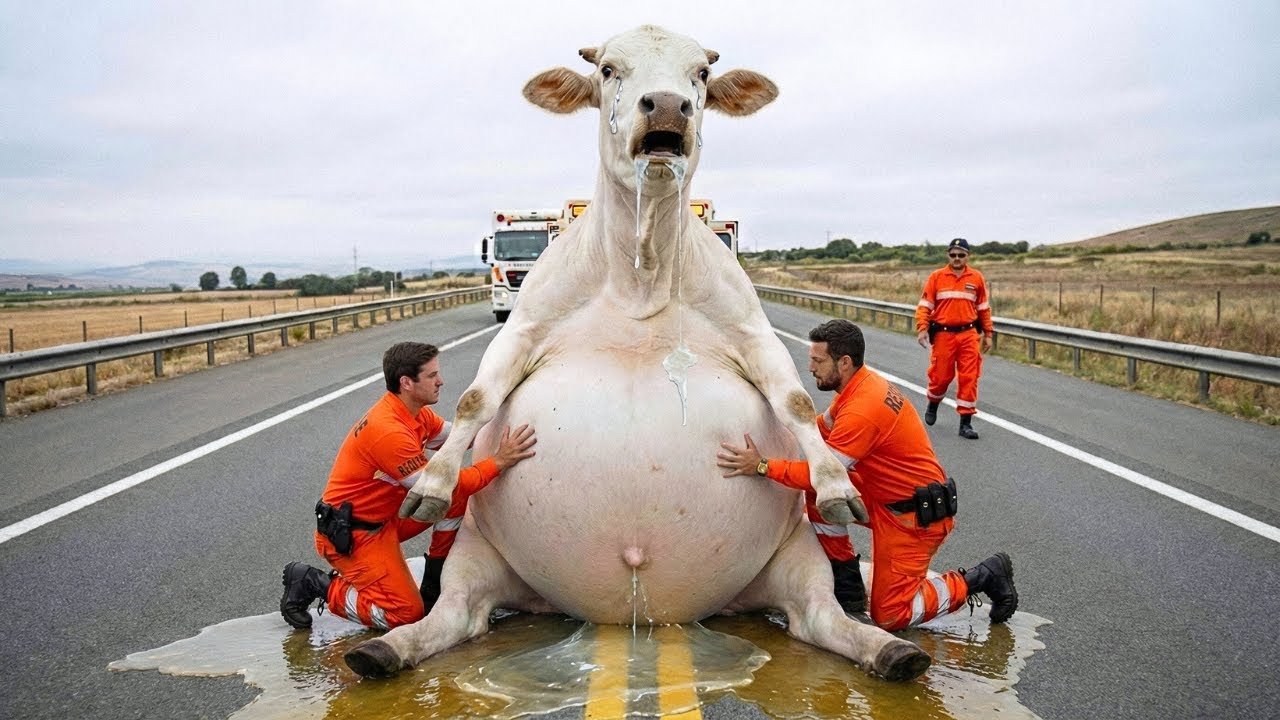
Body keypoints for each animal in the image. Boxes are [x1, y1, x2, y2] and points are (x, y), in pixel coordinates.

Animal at [342, 24, 932, 683]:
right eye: (608, 69)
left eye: (701, 73)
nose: (667, 105)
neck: (641, 278)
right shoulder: (523, 328)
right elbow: (475, 398)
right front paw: (434, 482)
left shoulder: (753, 333)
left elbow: (798, 402)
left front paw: (833, 485)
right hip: (477, 554)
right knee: (455, 615)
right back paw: (386, 648)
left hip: (796, 557)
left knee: (819, 617)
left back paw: (889, 649)